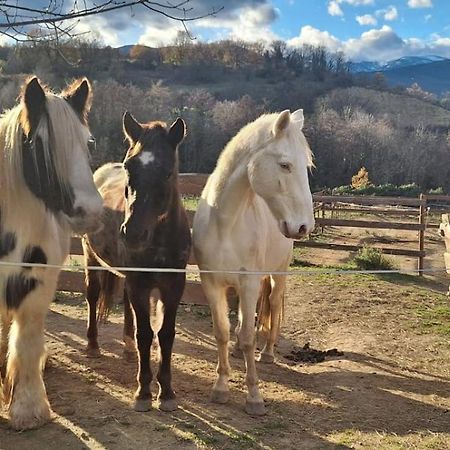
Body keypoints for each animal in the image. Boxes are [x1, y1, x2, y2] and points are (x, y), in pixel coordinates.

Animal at [0, 77, 102, 428]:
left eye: (89, 142)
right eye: (38, 144)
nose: (89, 212)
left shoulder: (36, 286)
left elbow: (27, 342)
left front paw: (28, 408)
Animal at [82, 112, 190, 412]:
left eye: (168, 172)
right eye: (129, 167)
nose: (132, 233)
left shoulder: (174, 285)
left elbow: (165, 334)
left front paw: (166, 392)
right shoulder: (139, 282)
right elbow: (146, 334)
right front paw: (143, 392)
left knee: (127, 306)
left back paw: (128, 350)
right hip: (91, 258)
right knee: (93, 296)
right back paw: (93, 345)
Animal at [192, 108, 314, 414]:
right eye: (285, 165)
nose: (304, 226)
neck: (225, 223)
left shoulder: (248, 283)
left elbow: (249, 335)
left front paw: (254, 397)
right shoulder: (212, 284)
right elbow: (222, 332)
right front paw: (221, 387)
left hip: (278, 273)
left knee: (272, 304)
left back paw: (268, 353)